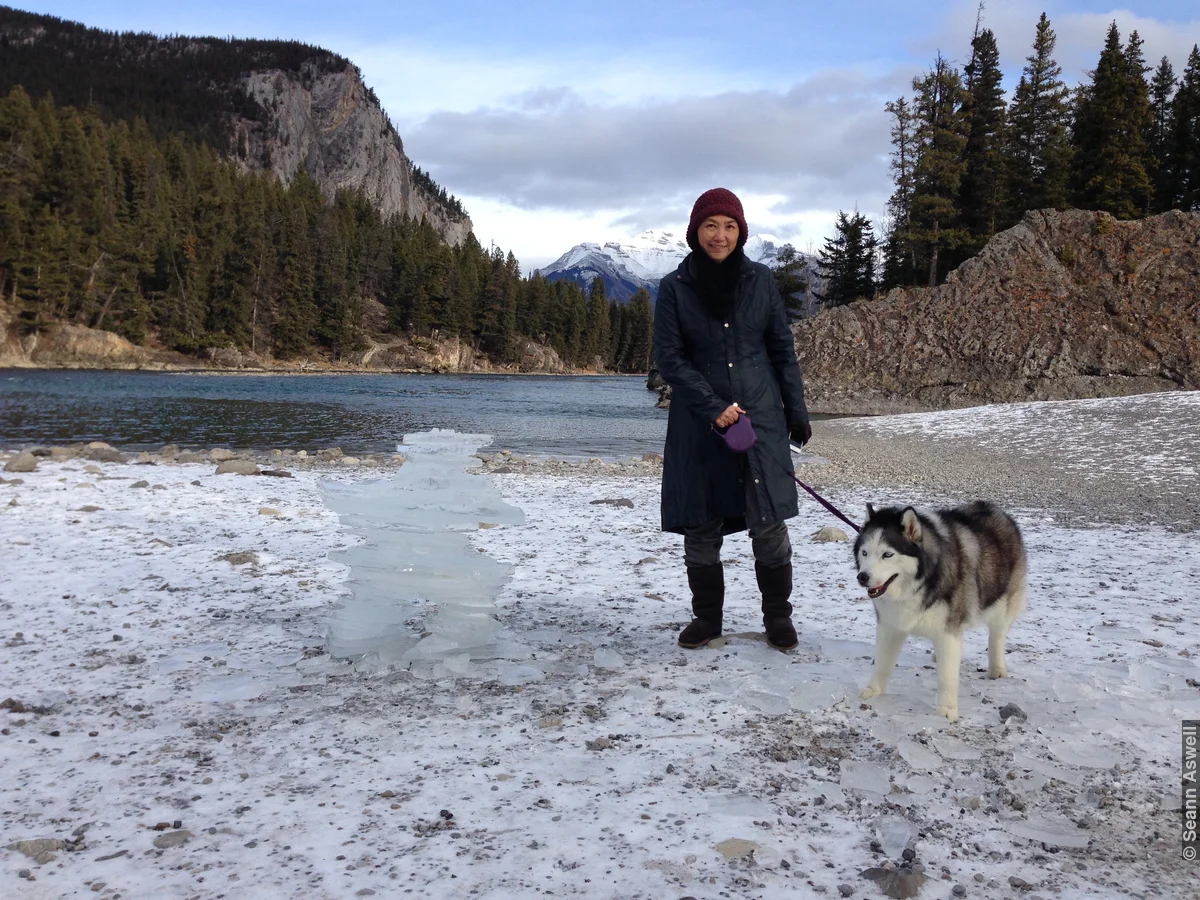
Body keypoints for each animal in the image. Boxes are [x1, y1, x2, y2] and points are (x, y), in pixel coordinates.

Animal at [854, 504, 1032, 724]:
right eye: (864, 552)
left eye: (887, 554)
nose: (862, 577)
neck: (921, 580)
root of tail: (991, 508)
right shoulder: (890, 624)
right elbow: (882, 662)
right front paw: (873, 689)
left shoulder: (948, 632)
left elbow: (947, 677)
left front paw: (947, 710)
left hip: (1003, 601)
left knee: (997, 635)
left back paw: (996, 668)